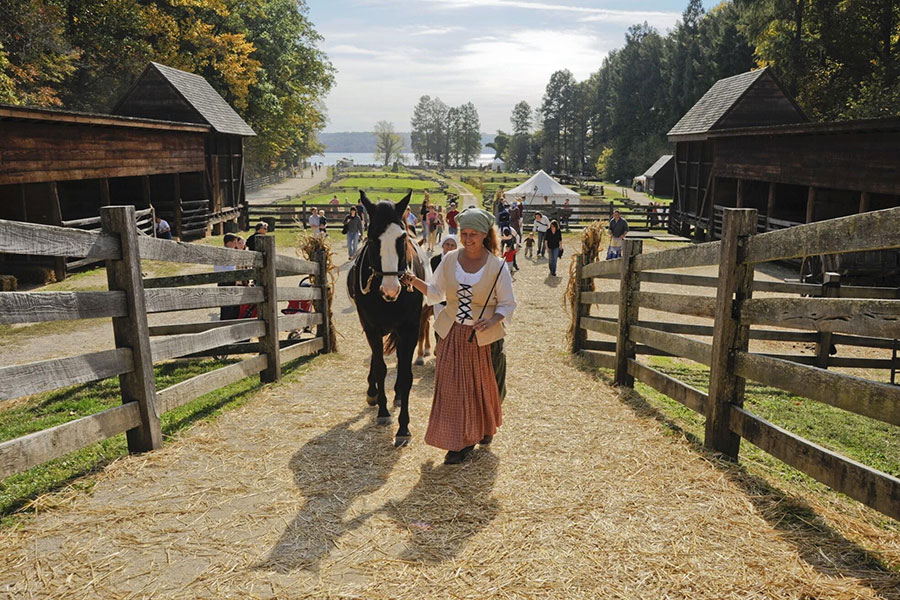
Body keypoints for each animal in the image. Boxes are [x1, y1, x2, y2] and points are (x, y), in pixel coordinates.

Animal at [346, 191, 430, 446]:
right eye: (373, 239)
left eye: (401, 239)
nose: (391, 290)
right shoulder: (371, 327)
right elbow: (381, 367)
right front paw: (382, 410)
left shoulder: (410, 329)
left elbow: (405, 373)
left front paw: (403, 427)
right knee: (377, 359)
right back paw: (373, 393)